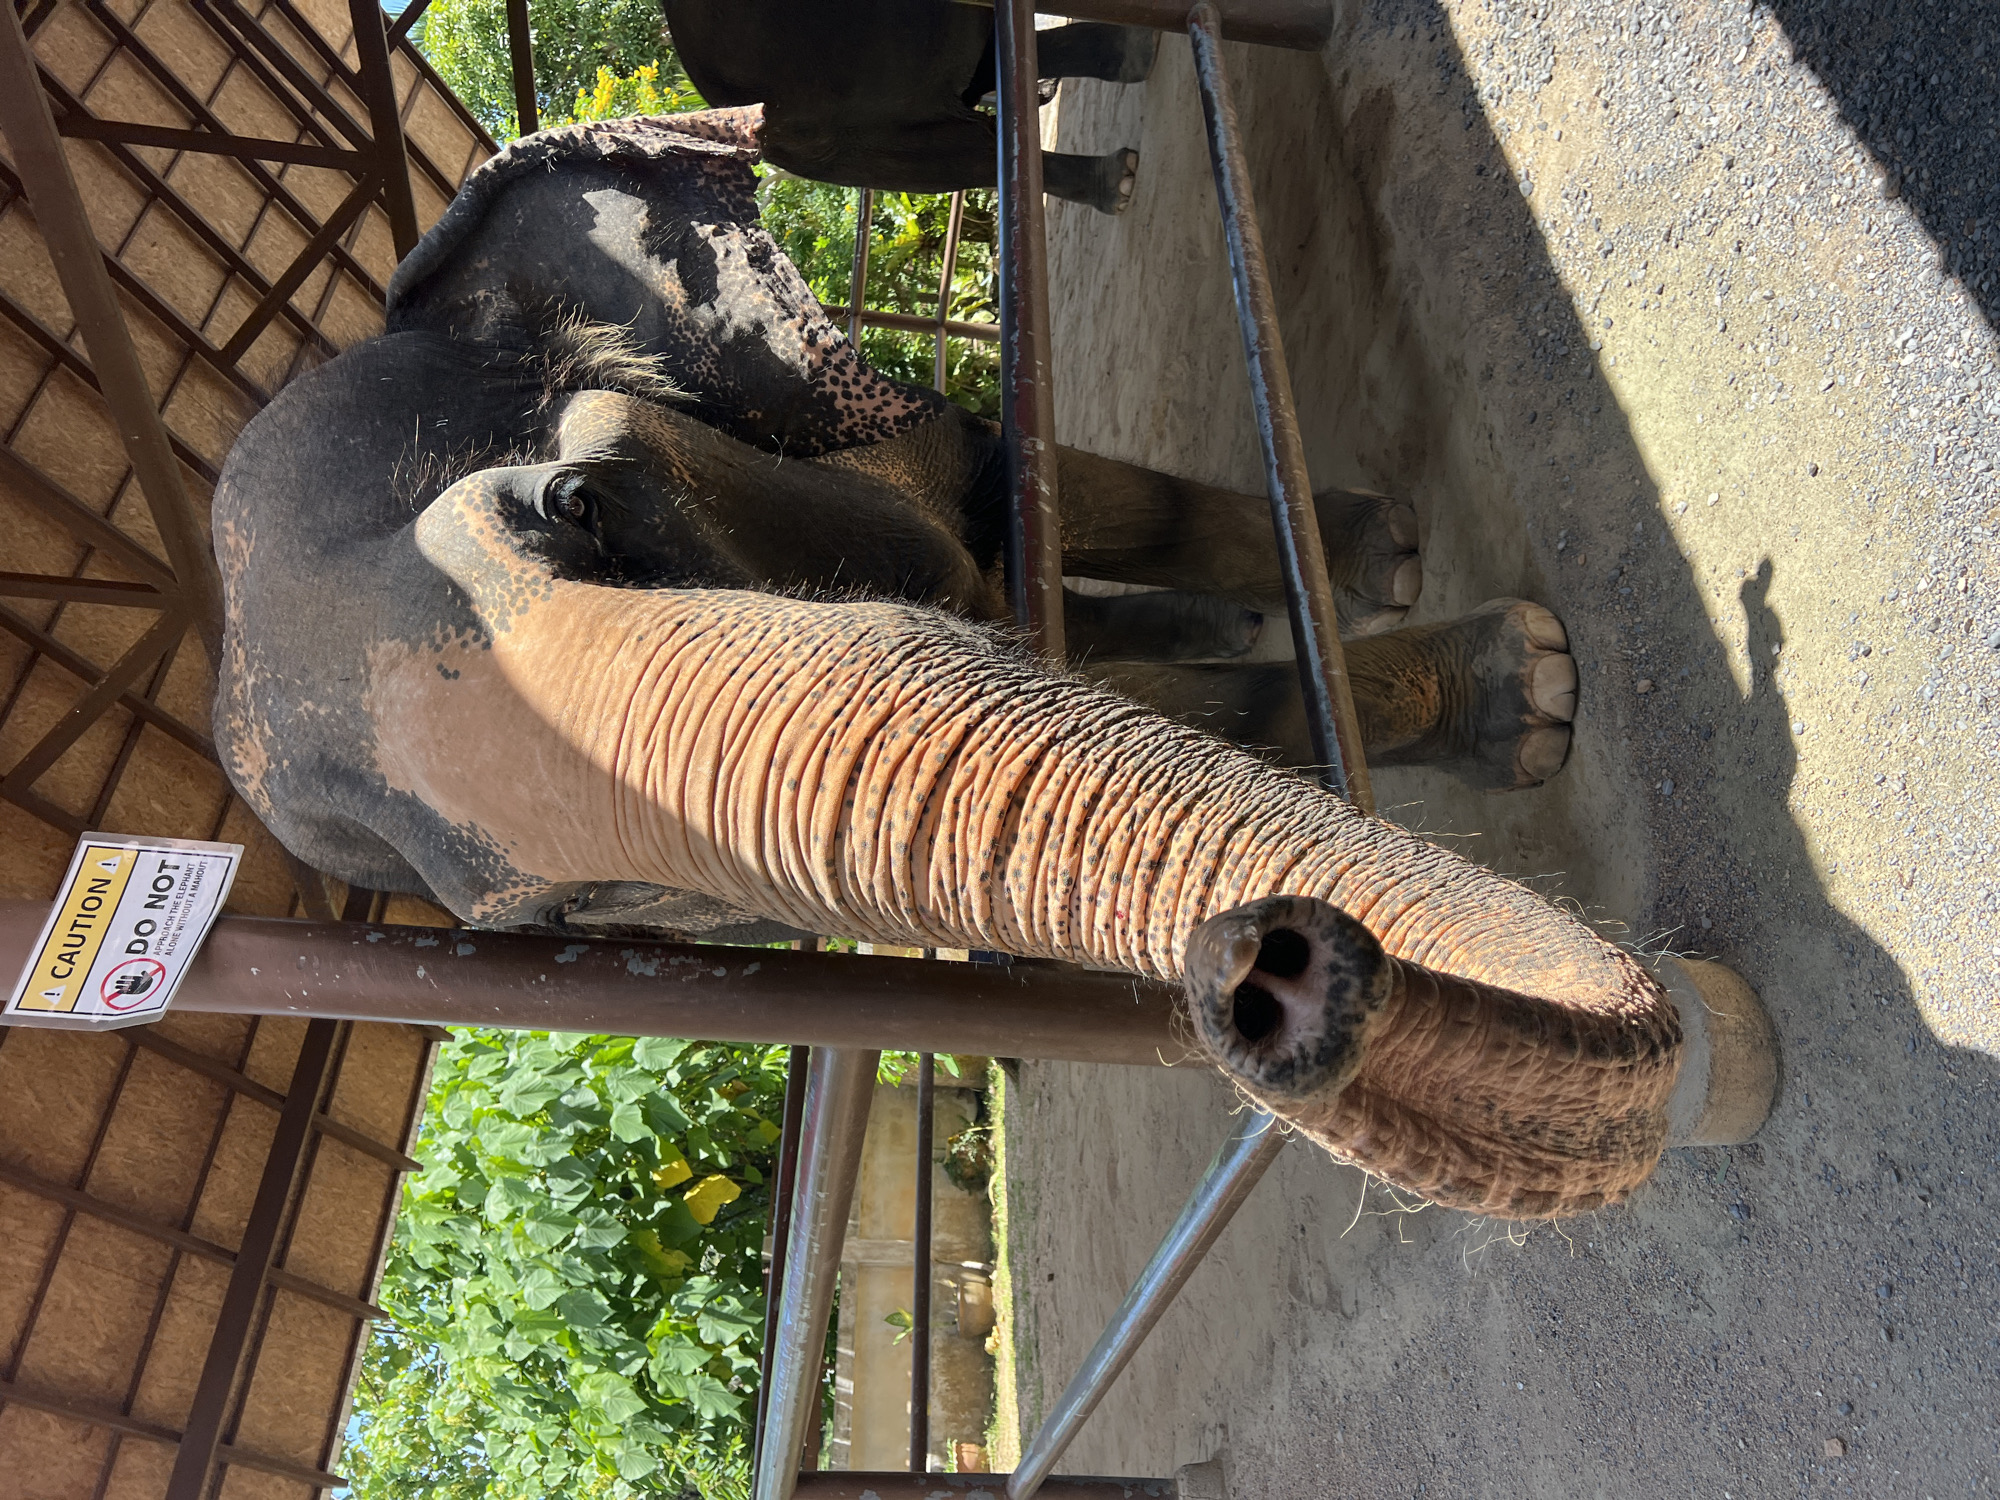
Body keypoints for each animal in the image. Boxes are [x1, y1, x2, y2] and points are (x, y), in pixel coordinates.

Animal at [214, 112, 1679, 1219]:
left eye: (581, 506)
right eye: (574, 915)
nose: (1274, 974)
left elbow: (1008, 495)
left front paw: (1479, 639)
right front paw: (1517, 686)